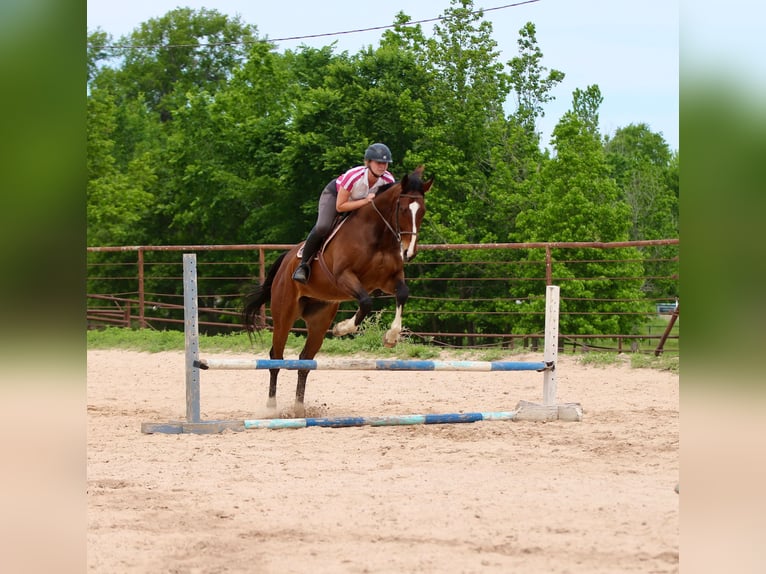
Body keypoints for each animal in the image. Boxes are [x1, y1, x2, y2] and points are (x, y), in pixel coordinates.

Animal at [242, 166, 433, 417]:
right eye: (402, 209)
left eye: (422, 211)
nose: (409, 252)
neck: (377, 234)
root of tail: (286, 260)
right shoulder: (345, 277)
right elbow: (366, 302)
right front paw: (343, 328)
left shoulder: (387, 280)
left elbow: (402, 294)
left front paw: (391, 337)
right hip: (284, 314)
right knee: (276, 357)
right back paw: (272, 409)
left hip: (319, 319)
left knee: (305, 361)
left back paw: (299, 409)